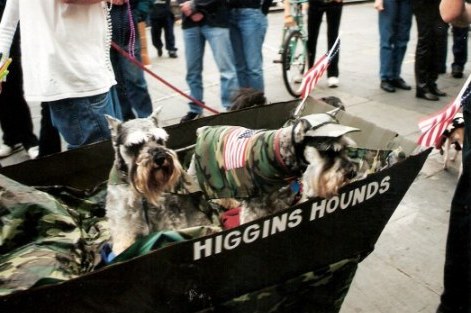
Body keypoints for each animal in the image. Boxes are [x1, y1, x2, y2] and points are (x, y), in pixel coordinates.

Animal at [105, 108, 186, 255]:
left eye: (159, 140)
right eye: (135, 144)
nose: (160, 158)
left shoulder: (163, 210)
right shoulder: (121, 212)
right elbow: (122, 231)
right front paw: (122, 249)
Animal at [186, 111, 360, 223]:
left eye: (345, 148)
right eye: (328, 151)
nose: (352, 172)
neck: (281, 156)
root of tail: (201, 130)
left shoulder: (283, 202)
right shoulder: (254, 208)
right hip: (205, 179)